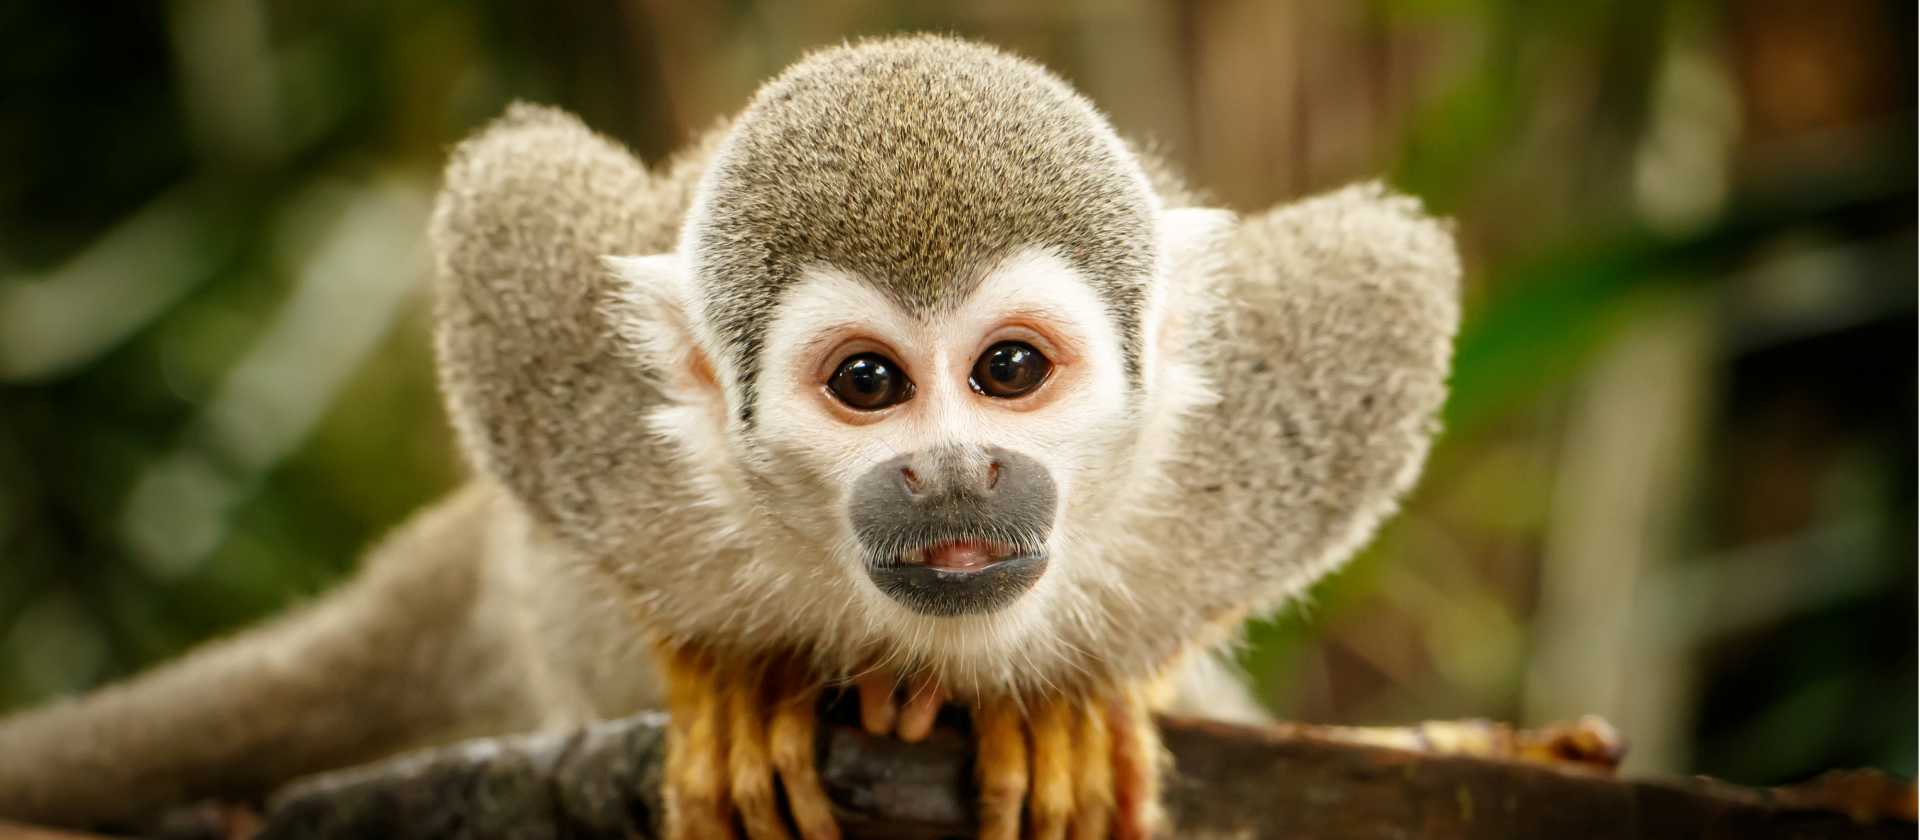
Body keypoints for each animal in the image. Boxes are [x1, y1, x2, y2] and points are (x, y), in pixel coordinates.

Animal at [0, 34, 1459, 839]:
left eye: (1008, 371)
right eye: (869, 382)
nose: (953, 469)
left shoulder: (1255, 430)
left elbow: (1389, 278)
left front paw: (1081, 700)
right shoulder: (586, 414)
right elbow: (514, 199)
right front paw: (727, 676)